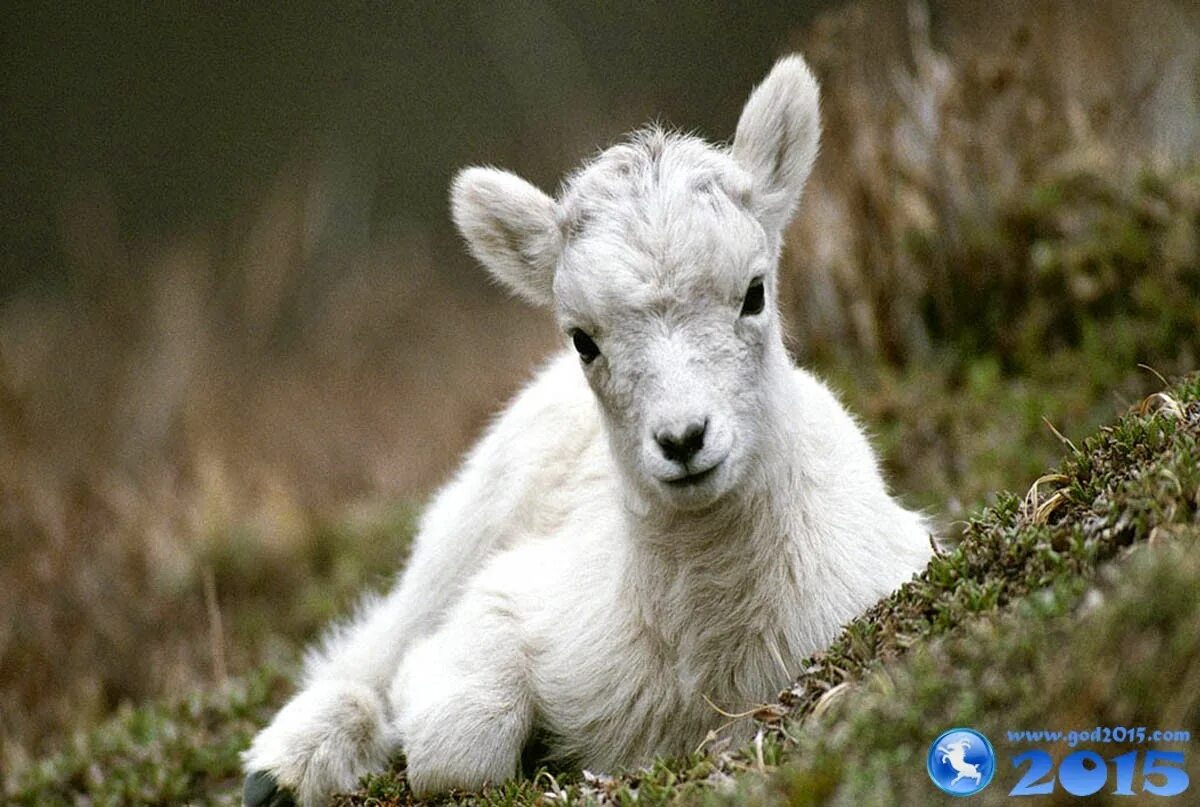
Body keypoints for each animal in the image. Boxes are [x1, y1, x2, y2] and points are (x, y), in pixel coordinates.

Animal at [243, 53, 931, 802]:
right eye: (582, 338)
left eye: (754, 293)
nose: (684, 439)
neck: (702, 660)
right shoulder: (501, 603)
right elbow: (455, 744)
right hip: (461, 531)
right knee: (377, 645)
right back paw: (283, 765)